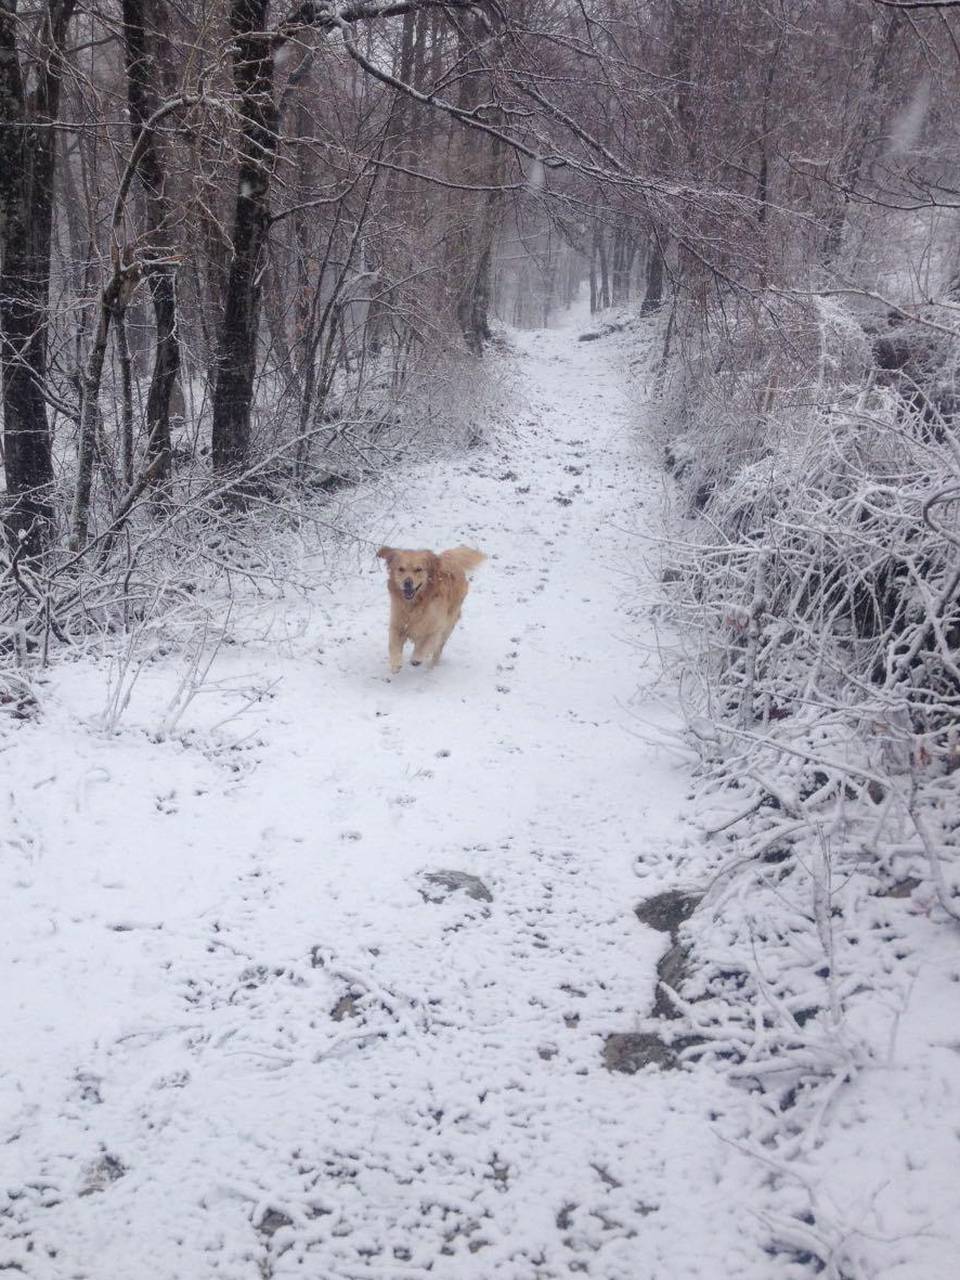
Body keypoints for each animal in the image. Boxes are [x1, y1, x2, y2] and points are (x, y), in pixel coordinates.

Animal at [378, 545, 488, 675]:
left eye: (418, 569)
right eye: (401, 569)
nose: (407, 583)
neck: (415, 605)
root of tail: (450, 559)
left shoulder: (436, 628)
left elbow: (425, 645)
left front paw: (416, 658)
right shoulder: (397, 624)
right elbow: (393, 645)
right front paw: (395, 664)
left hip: (448, 626)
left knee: (437, 650)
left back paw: (431, 667)